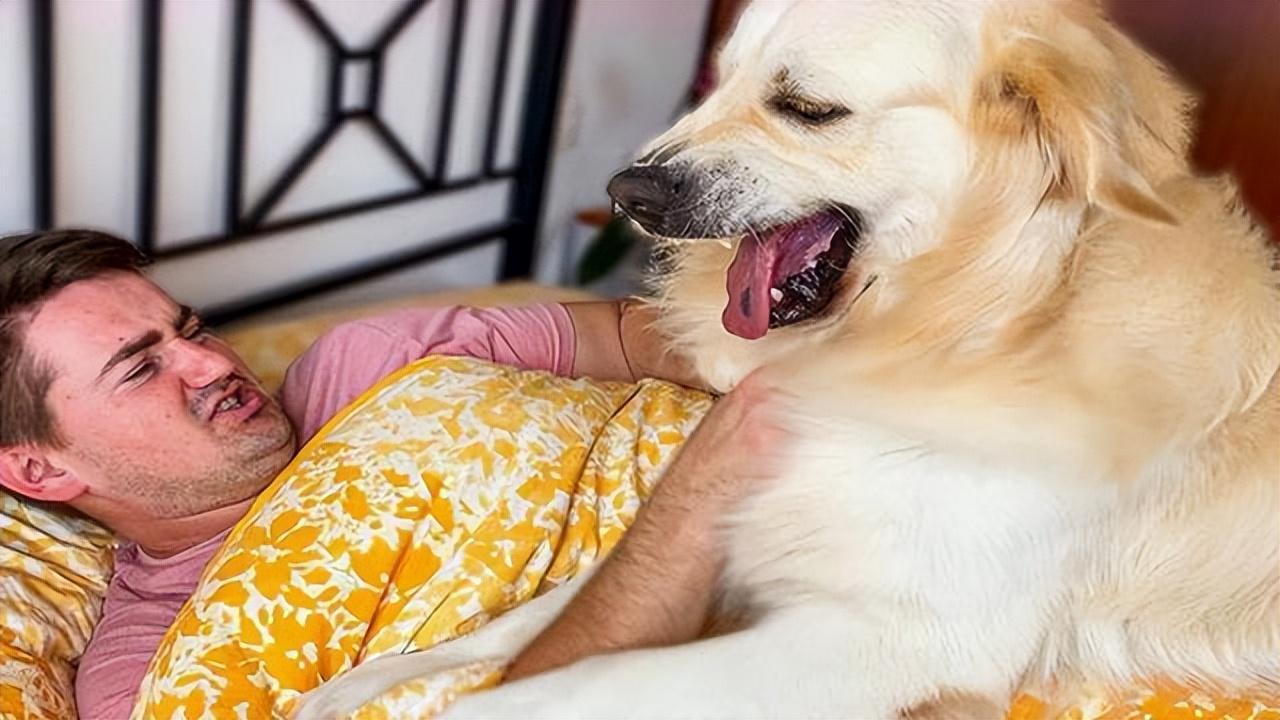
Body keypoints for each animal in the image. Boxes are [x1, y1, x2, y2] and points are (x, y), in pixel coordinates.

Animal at [296, 0, 1280, 717]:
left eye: (807, 108)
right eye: (717, 81)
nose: (626, 192)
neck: (987, 314)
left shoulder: (901, 635)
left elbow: (575, 681)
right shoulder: (744, 530)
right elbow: (532, 621)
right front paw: (364, 684)